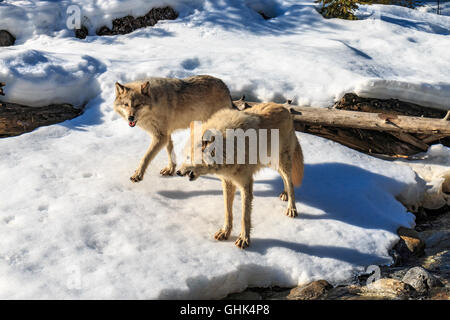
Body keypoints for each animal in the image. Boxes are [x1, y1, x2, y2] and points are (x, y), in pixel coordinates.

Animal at [176, 104, 302, 249]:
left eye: (188, 157)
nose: (177, 172)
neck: (228, 149)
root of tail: (284, 107)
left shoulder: (245, 184)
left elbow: (244, 216)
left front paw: (244, 239)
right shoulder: (228, 182)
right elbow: (227, 212)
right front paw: (225, 232)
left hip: (282, 162)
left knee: (290, 181)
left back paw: (291, 208)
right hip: (273, 163)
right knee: (285, 179)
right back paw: (284, 194)